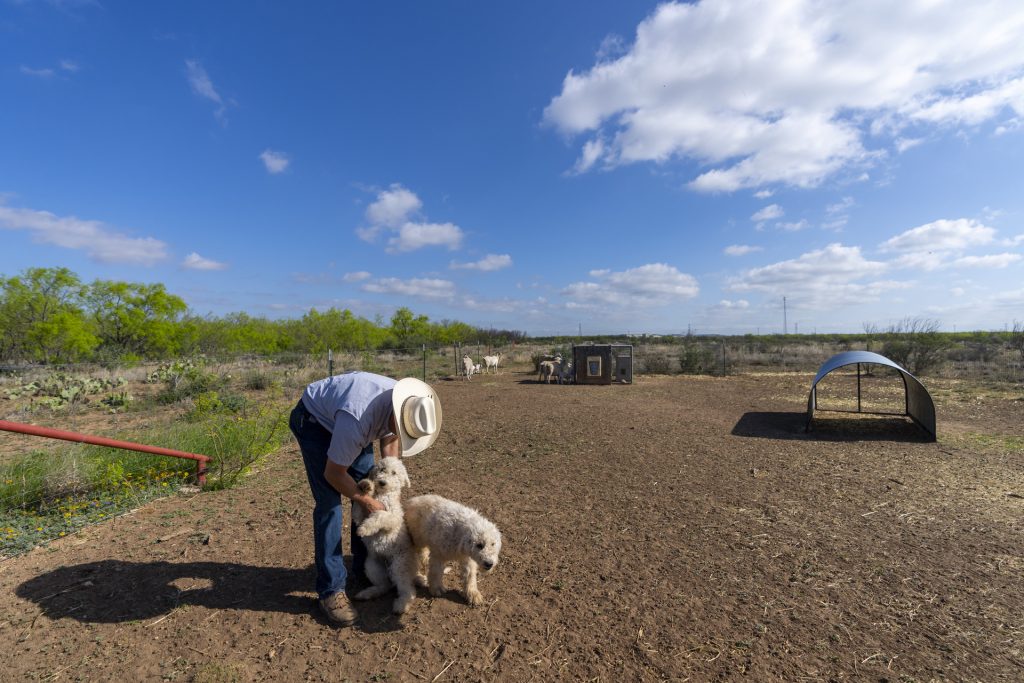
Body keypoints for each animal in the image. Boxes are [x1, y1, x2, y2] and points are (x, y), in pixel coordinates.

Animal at [350, 458, 417, 614]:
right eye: (382, 469)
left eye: (394, 473)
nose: (381, 482)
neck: (382, 495)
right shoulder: (360, 515)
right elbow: (358, 507)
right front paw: (366, 485)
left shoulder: (393, 518)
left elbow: (380, 515)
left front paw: (365, 529)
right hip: (372, 566)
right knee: (384, 586)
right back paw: (367, 593)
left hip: (399, 566)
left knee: (408, 590)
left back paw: (401, 605)